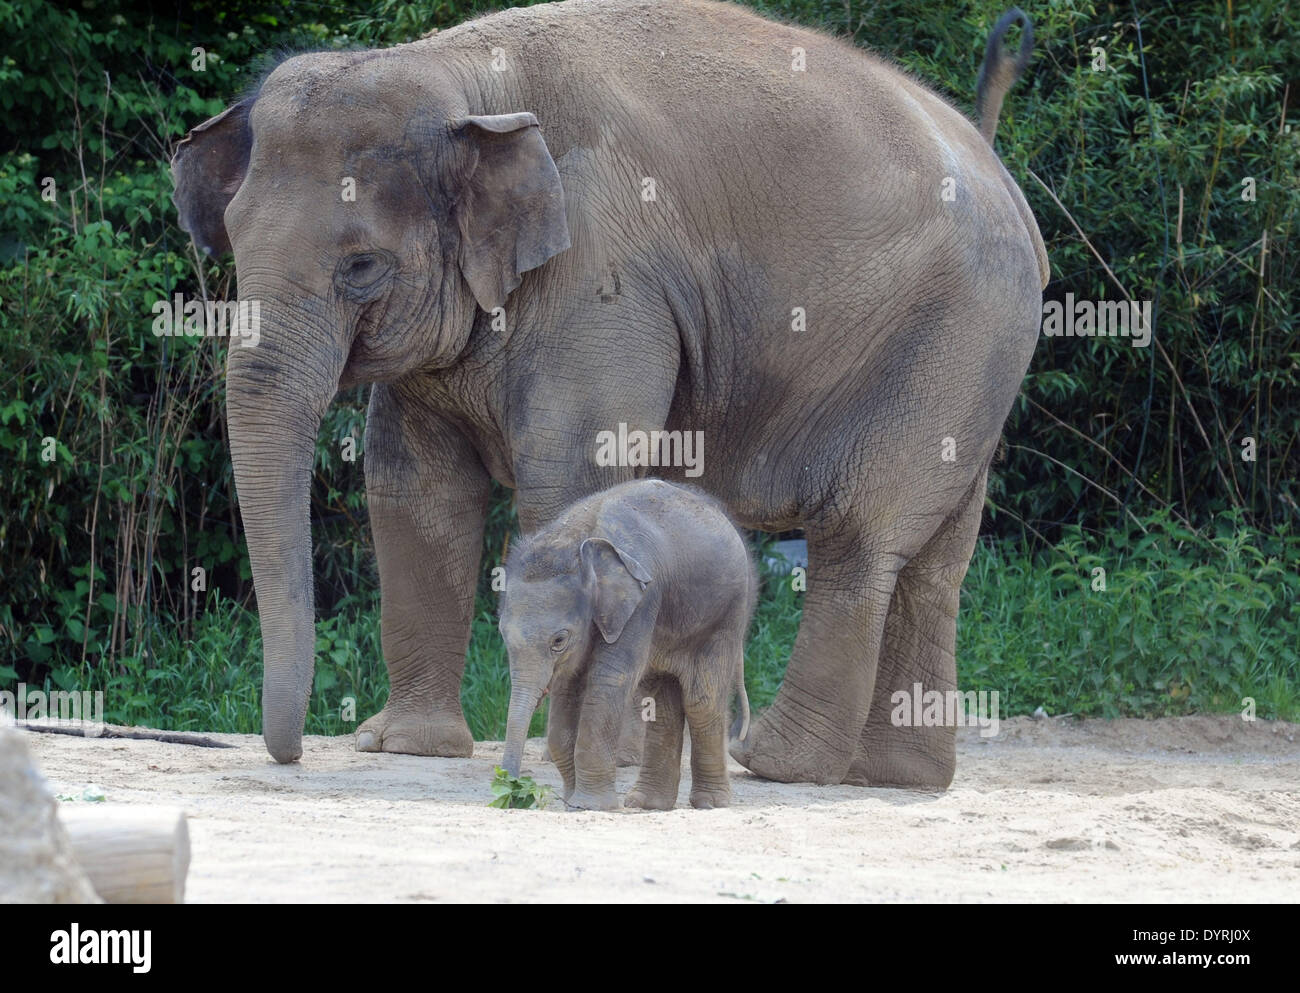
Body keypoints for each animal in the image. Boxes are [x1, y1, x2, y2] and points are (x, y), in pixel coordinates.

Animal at [501, 478, 759, 811]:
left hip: (727, 614)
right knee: (663, 702)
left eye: (559, 640)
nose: (510, 788)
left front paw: (589, 805)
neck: (574, 538)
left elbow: (609, 679)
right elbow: (567, 688)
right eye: (503, 635)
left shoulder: (642, 601)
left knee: (702, 699)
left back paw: (711, 804)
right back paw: (648, 804)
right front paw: (573, 801)